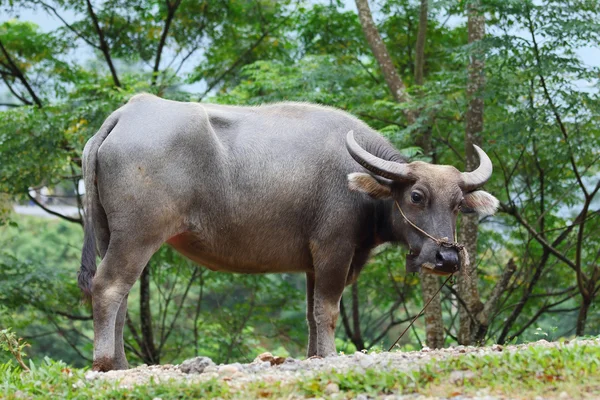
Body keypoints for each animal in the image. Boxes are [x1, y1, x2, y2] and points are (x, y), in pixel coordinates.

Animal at [81, 94, 502, 372]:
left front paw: (315, 353)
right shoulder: (334, 249)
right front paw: (329, 355)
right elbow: (327, 309)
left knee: (120, 296)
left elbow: (312, 313)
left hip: (110, 236)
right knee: (108, 287)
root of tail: (125, 115)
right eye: (416, 196)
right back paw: (105, 361)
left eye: (457, 204)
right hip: (137, 236)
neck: (361, 187)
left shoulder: (313, 263)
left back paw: (121, 362)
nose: (447, 257)